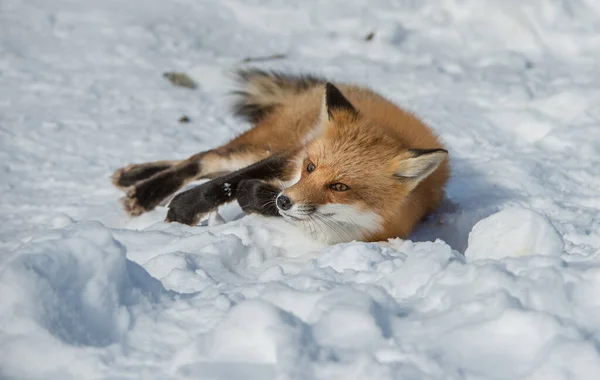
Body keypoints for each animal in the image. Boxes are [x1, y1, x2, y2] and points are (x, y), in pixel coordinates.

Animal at [112, 70, 450, 243]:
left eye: (339, 187)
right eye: (310, 167)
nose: (285, 201)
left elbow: (248, 192)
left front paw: (255, 196)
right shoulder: (292, 157)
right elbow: (224, 185)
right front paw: (183, 209)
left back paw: (132, 180)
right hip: (266, 145)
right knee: (202, 159)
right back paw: (143, 189)